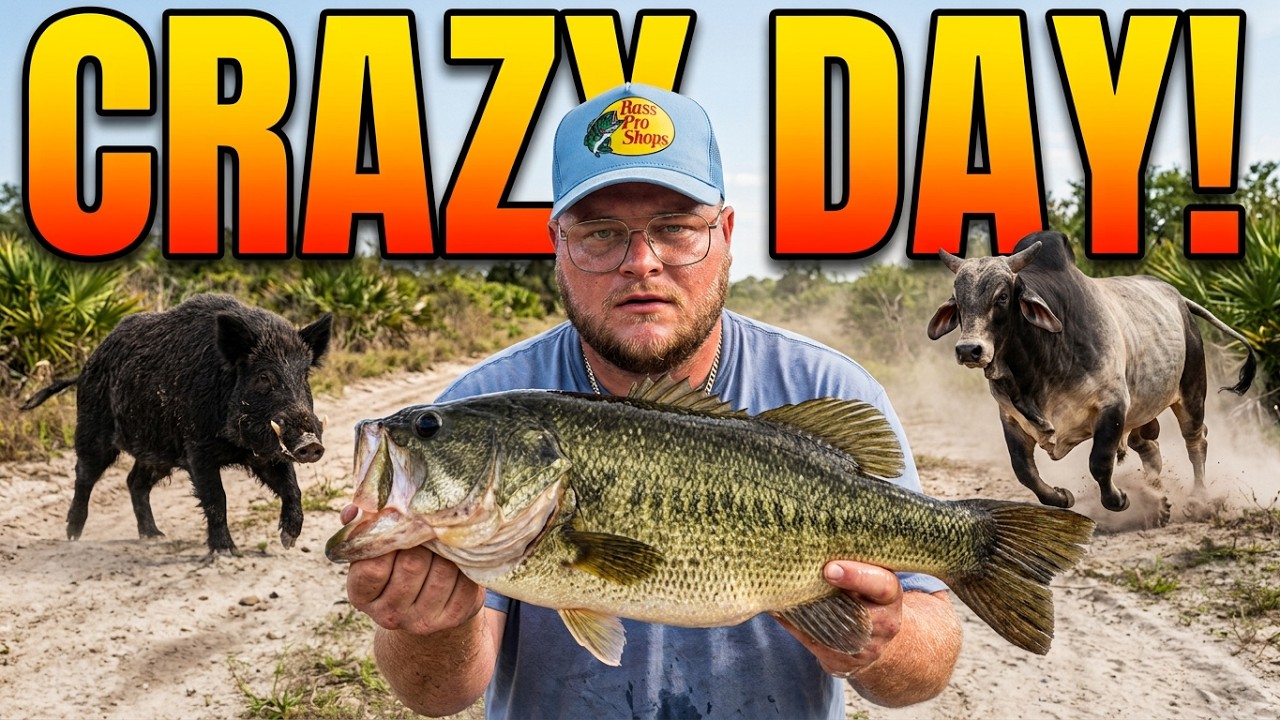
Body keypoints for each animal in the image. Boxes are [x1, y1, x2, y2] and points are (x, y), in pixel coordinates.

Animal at [21, 294, 333, 555]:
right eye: (264, 377)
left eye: (304, 375)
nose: (310, 444)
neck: (235, 443)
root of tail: (85, 367)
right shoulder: (197, 449)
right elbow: (216, 499)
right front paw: (226, 552)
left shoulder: (267, 451)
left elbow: (292, 487)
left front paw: (288, 541)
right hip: (93, 429)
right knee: (84, 475)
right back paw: (73, 535)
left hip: (157, 452)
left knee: (134, 481)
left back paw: (154, 536)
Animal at [926, 230, 1257, 515]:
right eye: (957, 300)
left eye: (1002, 297)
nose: (969, 350)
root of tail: (1179, 298)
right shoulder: (1010, 417)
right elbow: (1025, 472)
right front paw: (1062, 496)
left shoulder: (1112, 405)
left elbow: (1099, 462)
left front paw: (1120, 499)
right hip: (1142, 411)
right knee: (1148, 446)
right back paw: (1156, 497)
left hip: (1191, 392)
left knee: (1196, 440)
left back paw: (1198, 498)